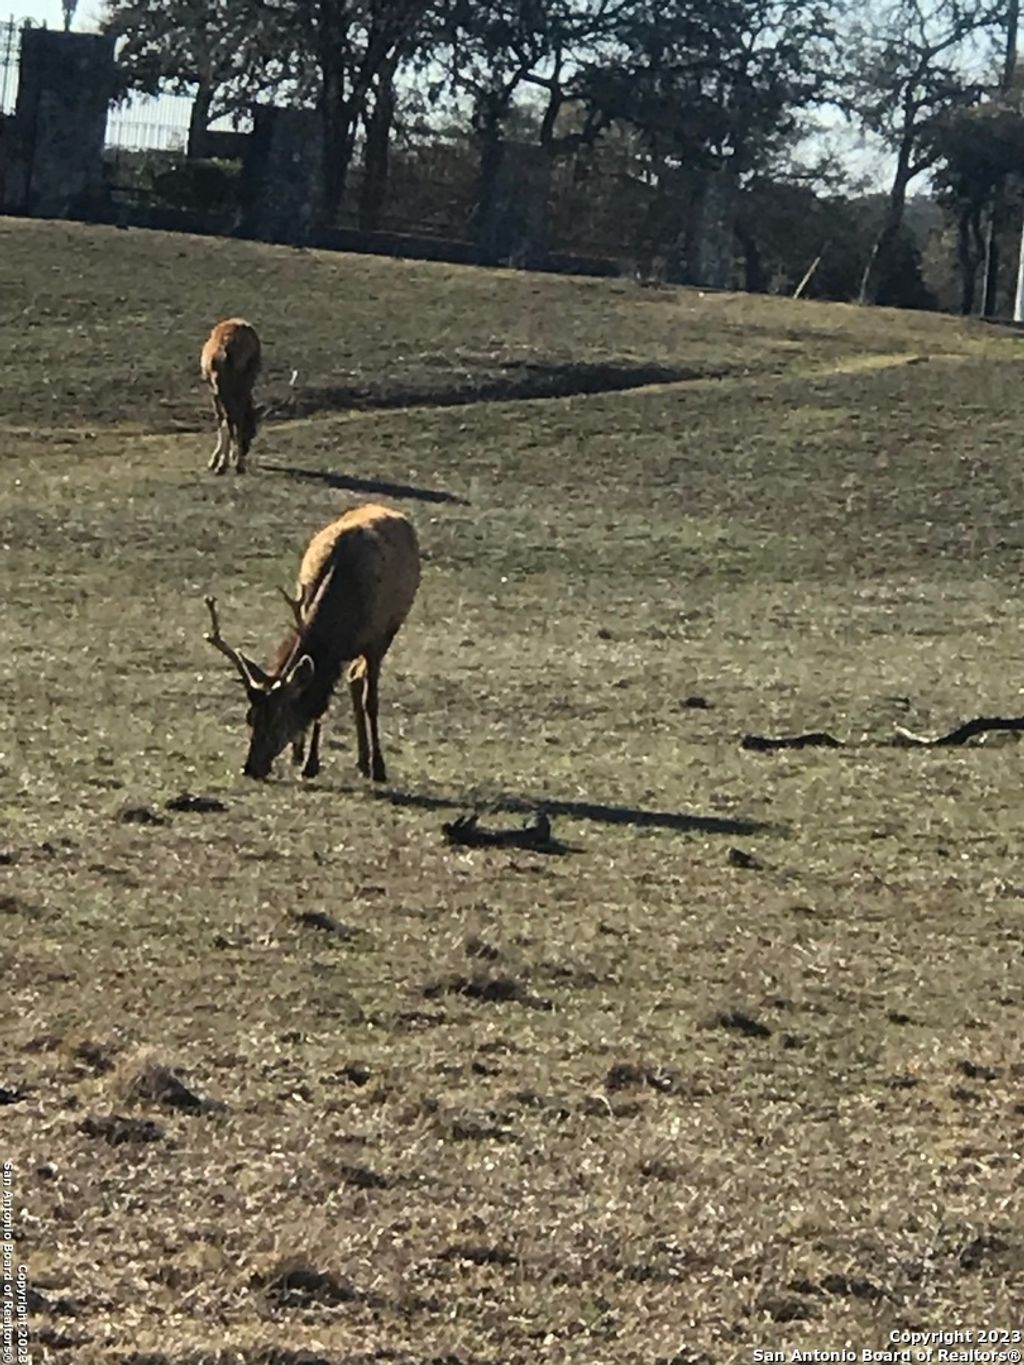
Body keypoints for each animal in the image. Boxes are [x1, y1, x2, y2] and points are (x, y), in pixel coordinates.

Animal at [201, 318, 261, 474]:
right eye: (253, 432)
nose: (246, 449)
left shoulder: (215, 392)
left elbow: (221, 420)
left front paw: (215, 461)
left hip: (222, 386)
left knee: (230, 419)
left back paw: (224, 464)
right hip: (246, 380)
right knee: (238, 418)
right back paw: (239, 464)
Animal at [203, 504, 420, 783]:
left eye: (279, 720)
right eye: (250, 717)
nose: (250, 768)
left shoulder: (376, 640)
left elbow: (370, 702)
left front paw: (379, 767)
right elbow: (320, 703)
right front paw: (308, 762)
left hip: (391, 628)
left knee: (357, 680)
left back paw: (367, 763)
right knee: (353, 677)